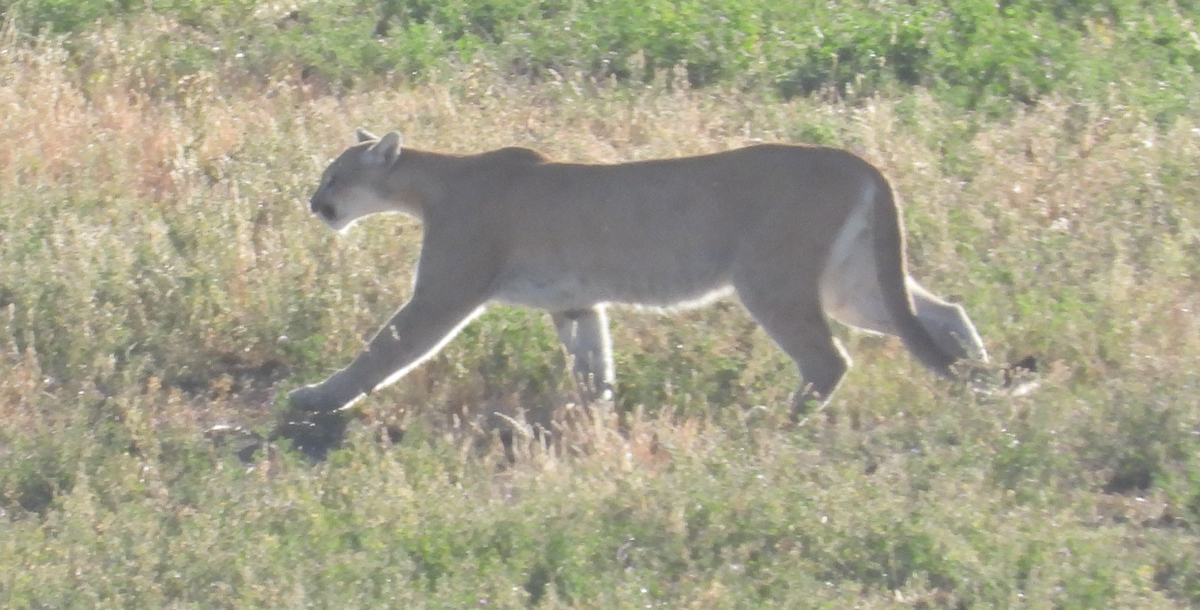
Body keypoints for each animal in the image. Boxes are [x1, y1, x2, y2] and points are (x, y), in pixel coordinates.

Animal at [286, 128, 988, 421]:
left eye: (333, 177)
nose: (313, 203)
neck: (432, 182)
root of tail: (858, 161)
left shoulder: (443, 293)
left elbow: (384, 350)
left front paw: (316, 399)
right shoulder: (575, 302)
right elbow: (593, 361)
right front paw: (595, 417)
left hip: (773, 280)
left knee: (830, 360)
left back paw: (775, 421)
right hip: (850, 284)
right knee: (943, 312)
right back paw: (981, 387)